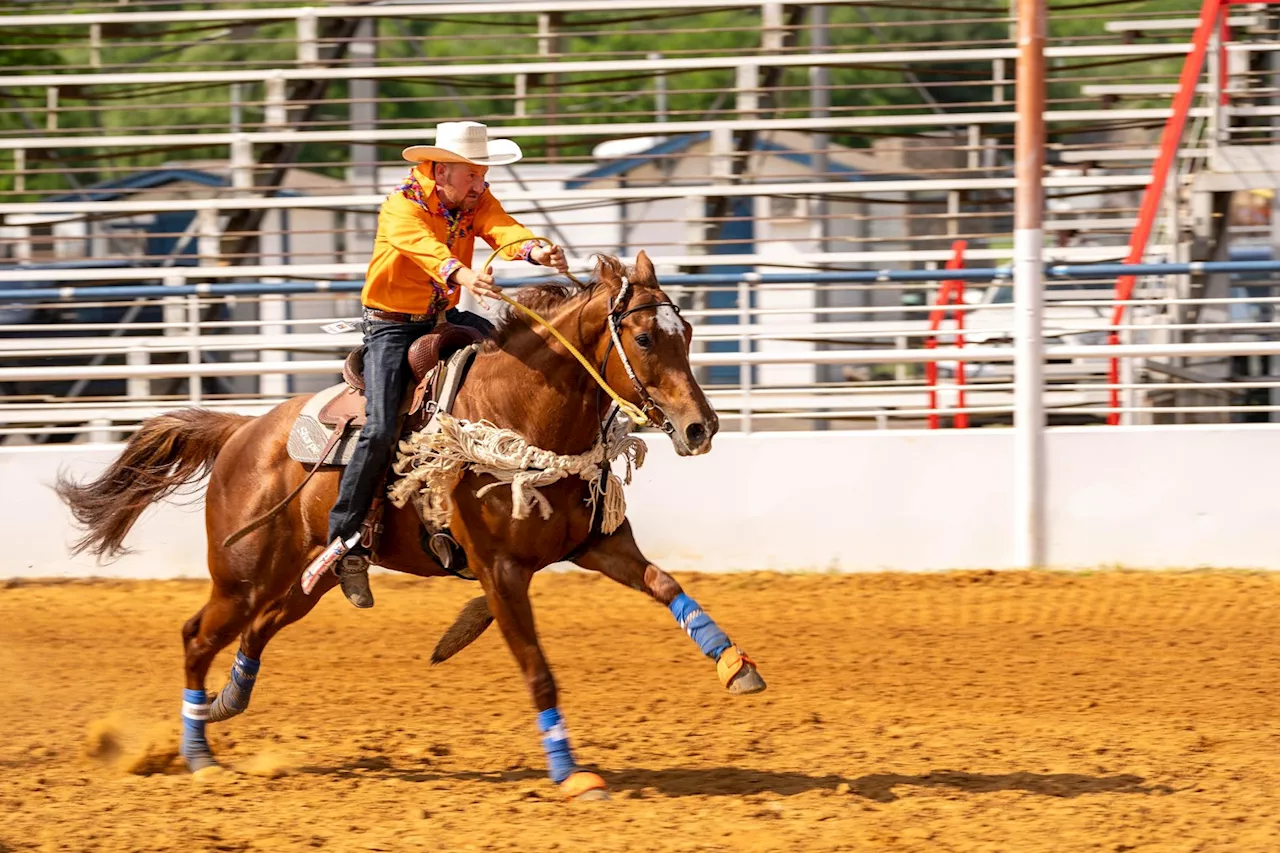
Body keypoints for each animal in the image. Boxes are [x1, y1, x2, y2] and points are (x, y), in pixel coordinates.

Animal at [57, 252, 757, 799]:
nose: (701, 427)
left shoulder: (599, 543)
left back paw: (230, 701)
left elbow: (667, 585)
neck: (518, 413)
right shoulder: (501, 574)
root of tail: (241, 432)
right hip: (242, 576)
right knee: (197, 636)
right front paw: (570, 773)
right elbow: (537, 668)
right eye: (643, 340)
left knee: (259, 627)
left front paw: (735, 664)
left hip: (304, 581)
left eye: (686, 330)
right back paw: (199, 754)